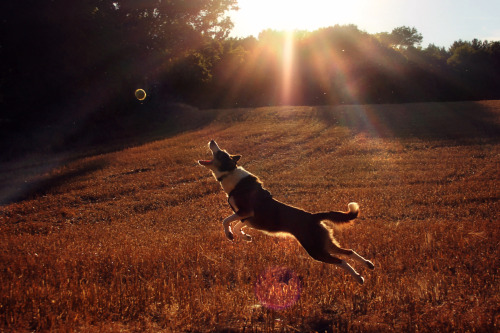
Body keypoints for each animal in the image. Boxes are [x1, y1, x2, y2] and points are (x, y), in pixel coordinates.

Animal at [197, 139, 374, 282]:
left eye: (220, 152)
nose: (212, 141)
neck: (230, 174)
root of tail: (313, 216)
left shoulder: (246, 212)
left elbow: (226, 221)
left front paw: (230, 235)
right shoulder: (247, 218)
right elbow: (237, 225)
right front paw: (245, 237)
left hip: (315, 249)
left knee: (341, 260)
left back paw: (358, 277)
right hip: (324, 242)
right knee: (348, 252)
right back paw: (367, 265)